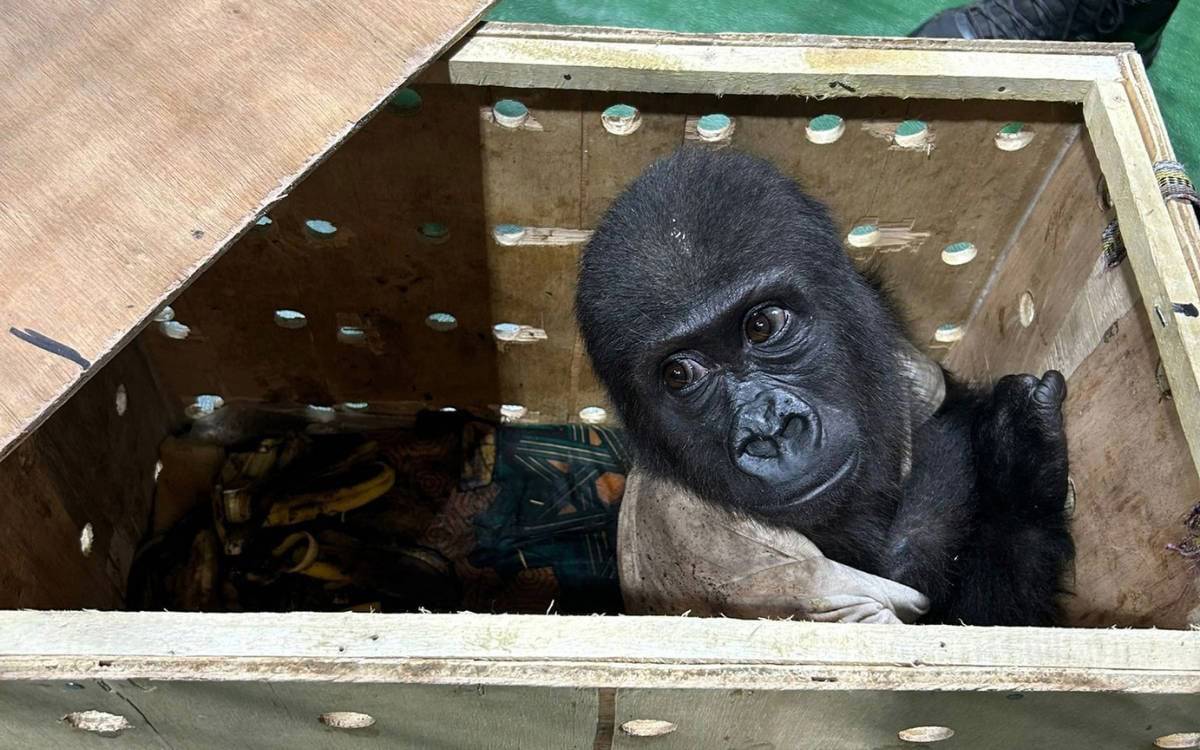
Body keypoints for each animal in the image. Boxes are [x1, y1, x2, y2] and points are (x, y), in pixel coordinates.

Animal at [576, 146, 1075, 624]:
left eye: (762, 325)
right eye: (680, 374)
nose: (769, 429)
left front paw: (1016, 457)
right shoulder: (757, 567)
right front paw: (1019, 475)